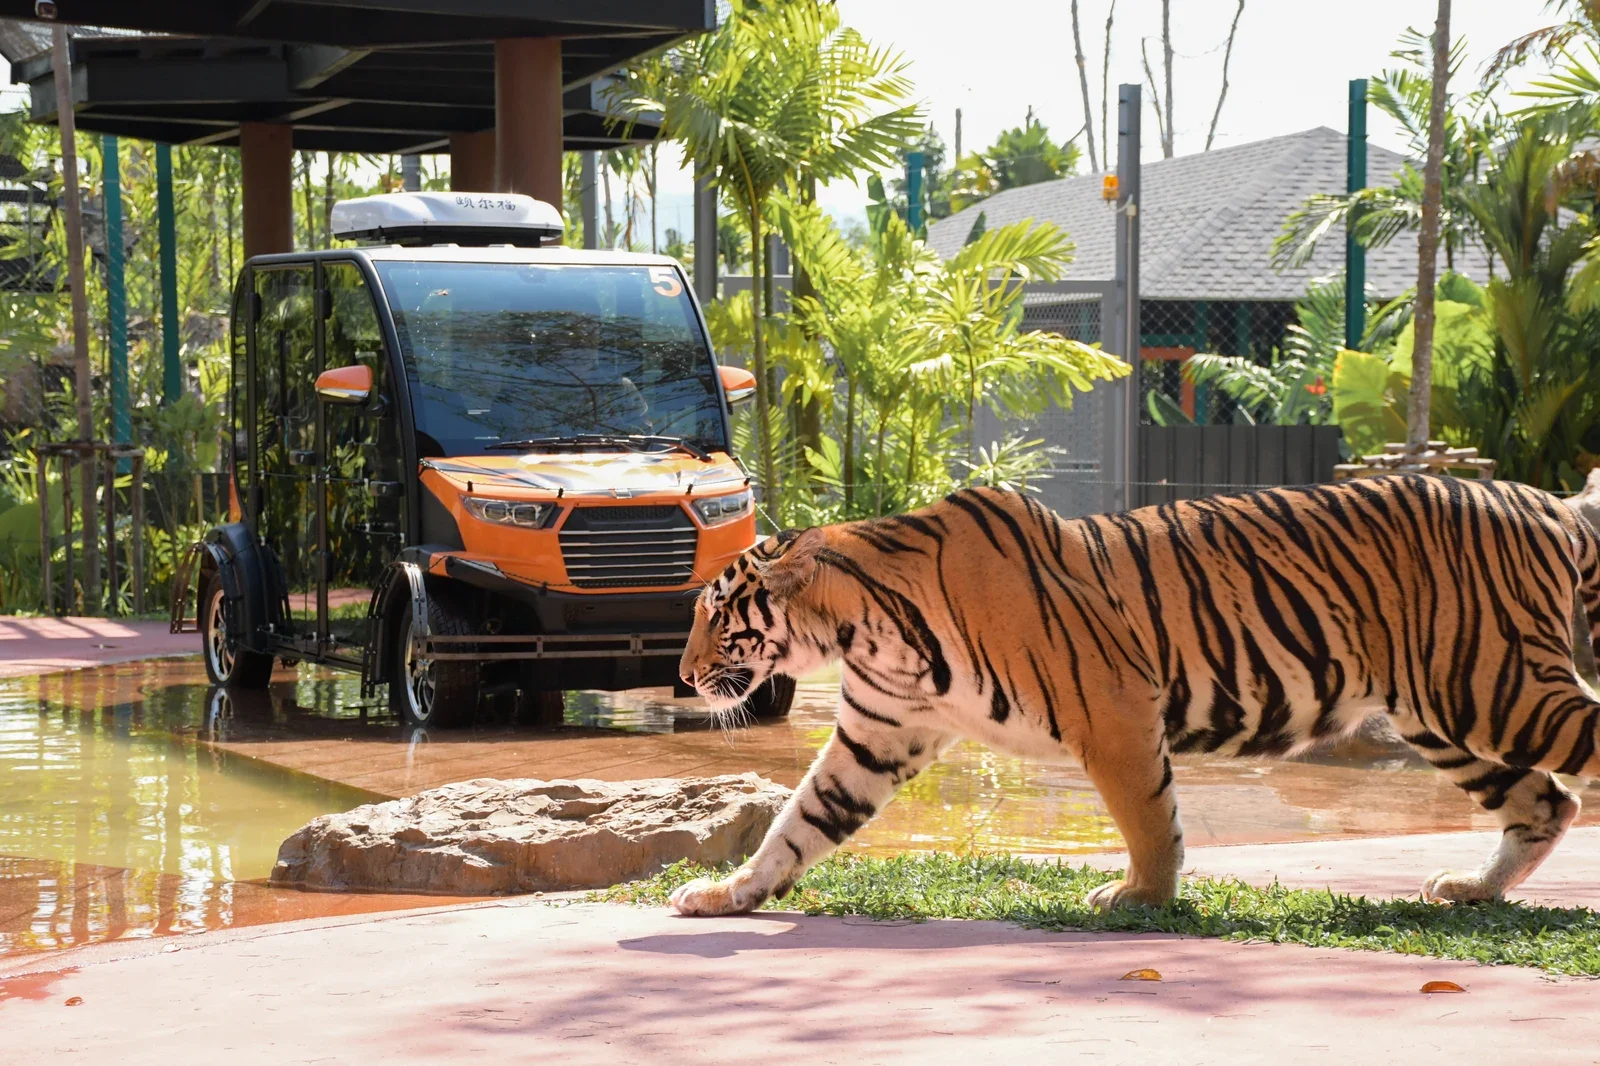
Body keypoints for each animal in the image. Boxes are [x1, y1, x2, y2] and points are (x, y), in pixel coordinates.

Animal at [671, 474, 1600, 916]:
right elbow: (798, 825)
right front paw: (727, 896)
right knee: (1545, 803)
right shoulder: (876, 735)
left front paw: (1138, 898)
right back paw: (1471, 889)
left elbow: (1150, 818)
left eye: (716, 612)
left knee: (1573, 763)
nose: (681, 674)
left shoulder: (1112, 710)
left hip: (1501, 687)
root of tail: (1546, 499)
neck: (864, 628)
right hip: (1452, 710)